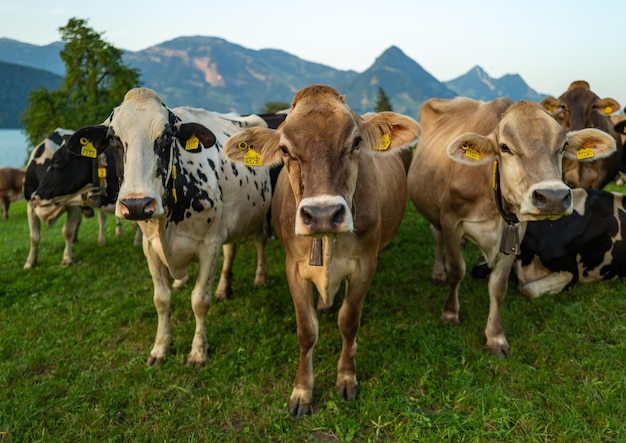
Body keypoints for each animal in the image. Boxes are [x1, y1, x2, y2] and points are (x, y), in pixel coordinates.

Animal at [64, 87, 272, 368]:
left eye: (166, 136)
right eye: (113, 138)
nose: (137, 204)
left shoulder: (209, 245)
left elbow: (199, 300)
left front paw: (198, 351)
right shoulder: (150, 247)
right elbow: (161, 300)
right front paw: (161, 348)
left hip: (260, 213)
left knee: (259, 241)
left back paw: (259, 277)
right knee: (231, 249)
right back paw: (221, 288)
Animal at [223, 85, 420, 418]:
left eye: (355, 142)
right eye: (285, 150)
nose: (323, 214)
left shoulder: (365, 264)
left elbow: (349, 322)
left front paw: (347, 378)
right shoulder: (293, 267)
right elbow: (307, 331)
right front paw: (302, 391)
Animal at [404, 97, 616, 358]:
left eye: (563, 145)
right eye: (504, 147)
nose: (553, 197)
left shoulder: (515, 231)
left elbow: (498, 286)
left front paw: (495, 337)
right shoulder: (451, 220)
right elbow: (456, 269)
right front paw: (450, 313)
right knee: (436, 236)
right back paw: (438, 272)